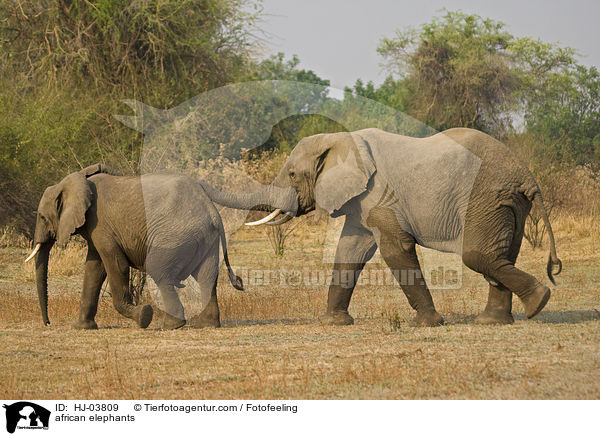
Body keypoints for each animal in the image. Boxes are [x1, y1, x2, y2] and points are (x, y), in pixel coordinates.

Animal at [25, 165, 241, 328]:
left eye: (42, 217)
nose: (48, 323)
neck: (76, 180)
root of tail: (212, 211)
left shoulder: (101, 224)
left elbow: (115, 265)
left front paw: (144, 316)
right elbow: (94, 269)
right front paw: (82, 328)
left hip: (177, 235)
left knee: (160, 271)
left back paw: (170, 325)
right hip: (205, 238)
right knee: (206, 277)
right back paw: (206, 324)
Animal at [199, 127, 560, 326]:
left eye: (291, 174)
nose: (240, 283)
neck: (343, 141)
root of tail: (527, 177)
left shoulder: (380, 194)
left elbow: (394, 248)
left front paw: (427, 324)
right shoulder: (362, 198)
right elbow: (350, 250)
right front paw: (333, 323)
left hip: (487, 196)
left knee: (477, 256)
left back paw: (539, 302)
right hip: (507, 203)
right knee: (501, 255)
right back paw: (499, 319)